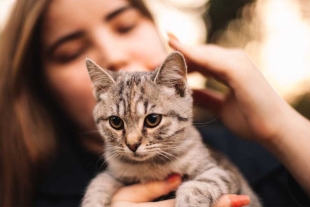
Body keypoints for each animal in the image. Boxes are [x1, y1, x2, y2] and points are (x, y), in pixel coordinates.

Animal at [81, 51, 260, 207]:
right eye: (116, 122)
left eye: (153, 119)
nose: (132, 145)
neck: (149, 165)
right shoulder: (117, 172)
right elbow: (100, 180)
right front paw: (92, 201)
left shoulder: (224, 172)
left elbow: (202, 184)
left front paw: (189, 202)